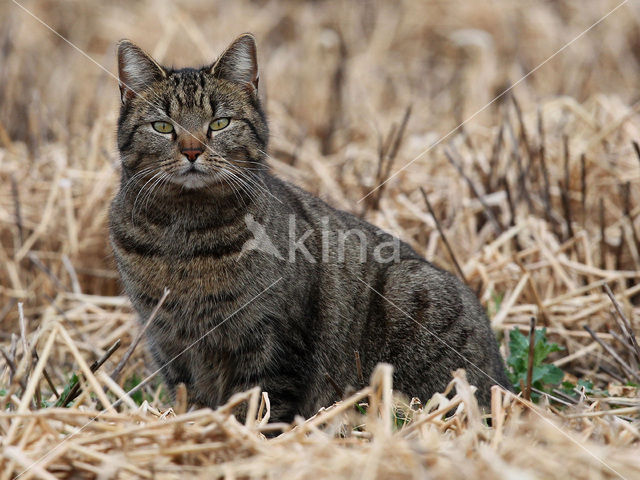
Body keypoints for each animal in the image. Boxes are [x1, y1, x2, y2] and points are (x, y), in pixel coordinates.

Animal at [110, 33, 510, 422]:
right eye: (163, 126)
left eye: (220, 123)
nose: (192, 150)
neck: (185, 231)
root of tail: (505, 381)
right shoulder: (168, 342)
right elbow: (193, 399)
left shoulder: (271, 341)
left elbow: (258, 407)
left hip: (409, 294)